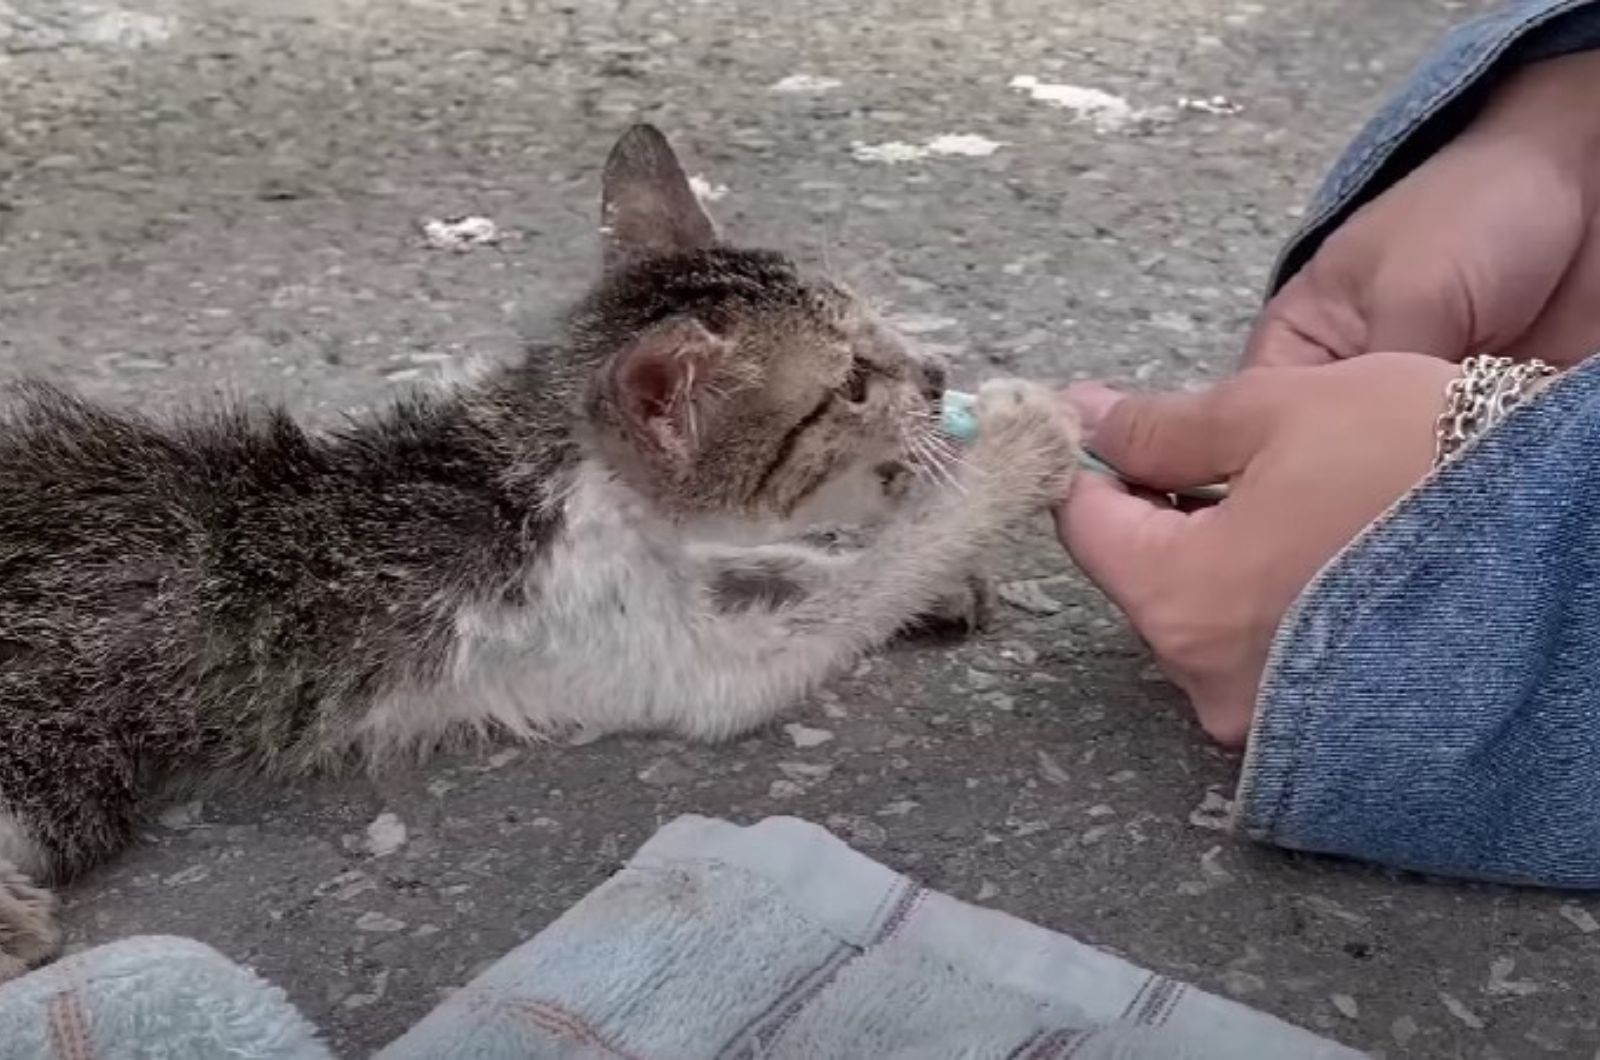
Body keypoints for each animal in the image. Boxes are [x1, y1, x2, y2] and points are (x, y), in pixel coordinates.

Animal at [0, 124, 1088, 979]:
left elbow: (772, 566)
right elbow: (851, 589)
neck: (545, 457)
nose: (937, 369)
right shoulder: (673, 659)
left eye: (877, 328)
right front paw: (1017, 450)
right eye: (854, 383)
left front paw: (927, 581)